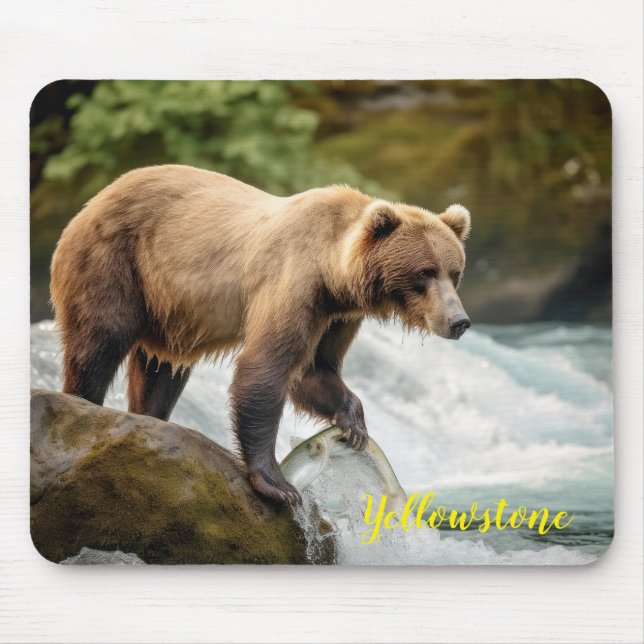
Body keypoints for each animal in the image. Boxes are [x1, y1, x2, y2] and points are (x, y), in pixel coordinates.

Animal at [50, 164, 471, 504]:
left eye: (454, 272)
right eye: (424, 272)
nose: (459, 321)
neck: (333, 273)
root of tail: (94, 200)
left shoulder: (335, 316)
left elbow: (314, 370)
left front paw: (353, 422)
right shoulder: (293, 283)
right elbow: (266, 370)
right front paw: (277, 484)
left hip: (166, 310)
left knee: (159, 371)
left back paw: (150, 417)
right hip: (114, 260)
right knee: (98, 342)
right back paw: (82, 405)